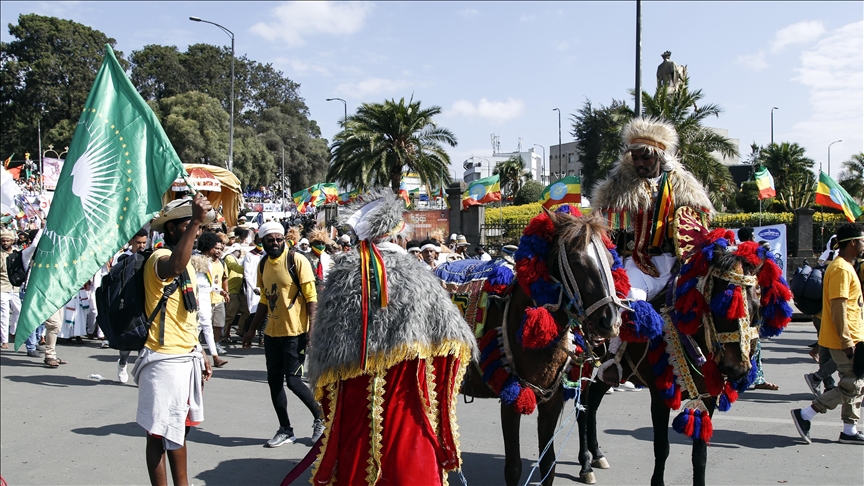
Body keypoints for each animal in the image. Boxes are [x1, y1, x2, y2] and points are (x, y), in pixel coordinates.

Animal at [438, 209, 628, 486]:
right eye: (576, 261)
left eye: (610, 258)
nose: (610, 322)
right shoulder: (511, 397)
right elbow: (514, 467)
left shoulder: (552, 400)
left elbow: (548, 464)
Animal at [576, 231, 792, 486]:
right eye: (720, 305)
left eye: (756, 306)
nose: (737, 369)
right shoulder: (661, 395)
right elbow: (662, 447)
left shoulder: (709, 396)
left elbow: (700, 455)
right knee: (583, 407)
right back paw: (585, 463)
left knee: (591, 405)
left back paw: (597, 454)